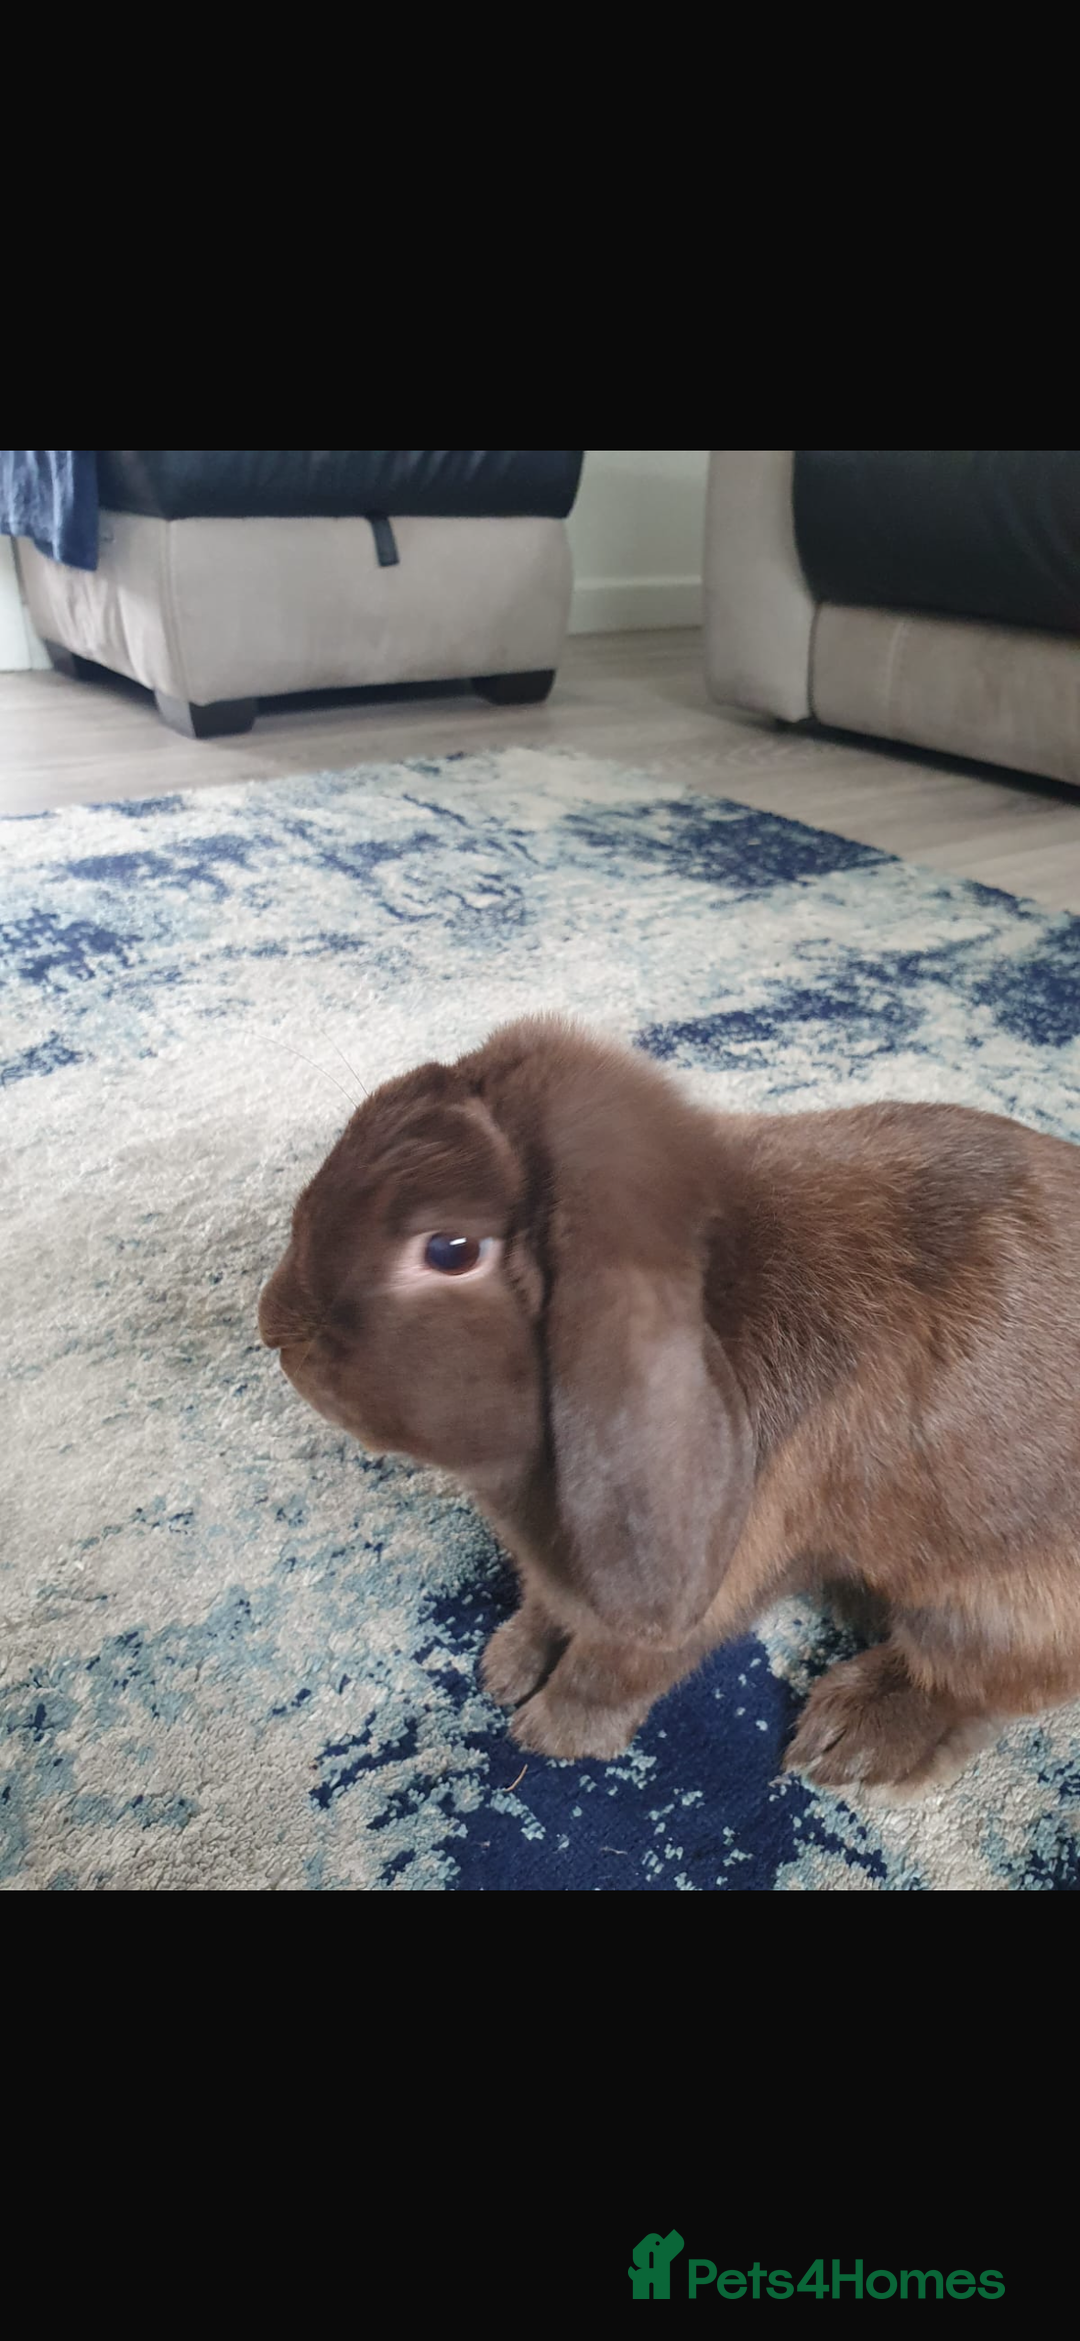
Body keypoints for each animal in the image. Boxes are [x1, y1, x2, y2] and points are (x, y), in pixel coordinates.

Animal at [257, 1015, 1080, 1797]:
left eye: (450, 1250)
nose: (274, 1327)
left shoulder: (704, 1587)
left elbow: (613, 1670)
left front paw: (549, 1733)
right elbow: (544, 1608)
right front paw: (507, 1665)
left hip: (988, 1608)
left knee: (974, 1689)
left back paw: (849, 1743)